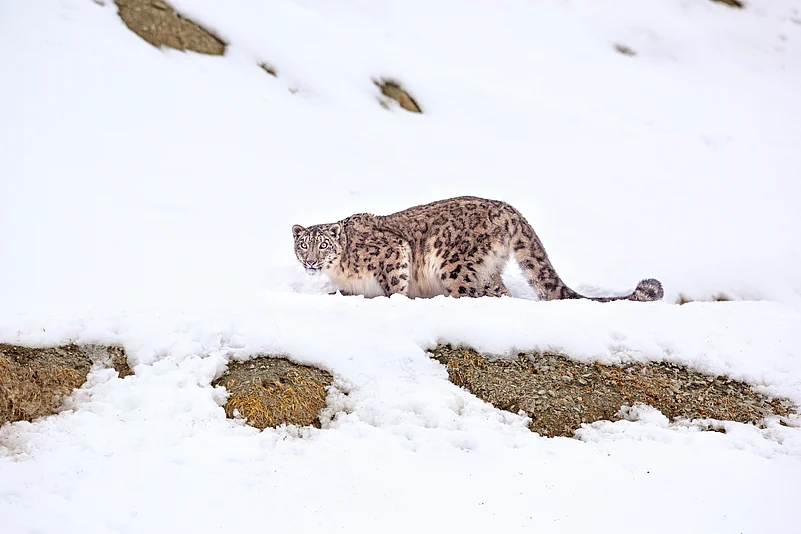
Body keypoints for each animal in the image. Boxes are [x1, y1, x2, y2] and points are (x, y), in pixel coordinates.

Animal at [291, 196, 663, 302]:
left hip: (454, 264)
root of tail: (509, 210)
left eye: (323, 245)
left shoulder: (393, 254)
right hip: (487, 270)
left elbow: (394, 285)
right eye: (303, 246)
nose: (310, 263)